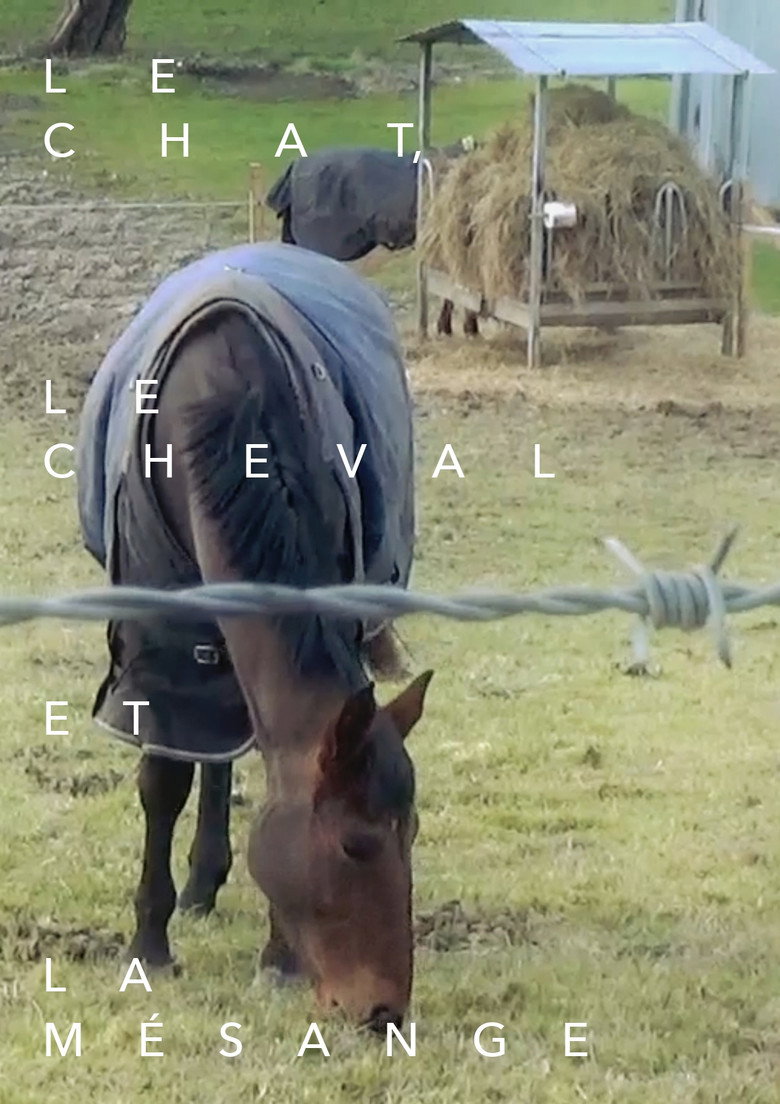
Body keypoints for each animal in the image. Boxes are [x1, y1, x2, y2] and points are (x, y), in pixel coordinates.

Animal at [76, 241, 434, 1033]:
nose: (384, 1012)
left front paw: (278, 958)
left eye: (414, 832)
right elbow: (165, 780)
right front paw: (150, 944)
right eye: (355, 845)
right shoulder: (162, 642)